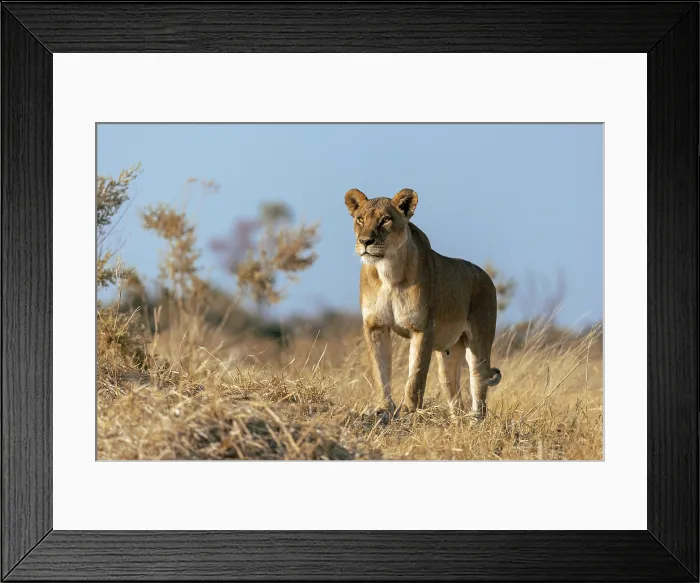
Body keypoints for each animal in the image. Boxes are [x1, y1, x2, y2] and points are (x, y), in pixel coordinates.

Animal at [344, 187, 501, 422]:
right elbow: (380, 371)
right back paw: (457, 422)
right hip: (448, 355)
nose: (365, 241)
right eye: (360, 219)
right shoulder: (375, 326)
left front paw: (409, 411)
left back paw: (475, 421)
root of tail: (485, 275)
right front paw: (383, 408)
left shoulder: (422, 328)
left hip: (479, 342)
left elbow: (416, 376)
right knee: (454, 396)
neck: (387, 272)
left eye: (385, 220)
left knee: (478, 385)